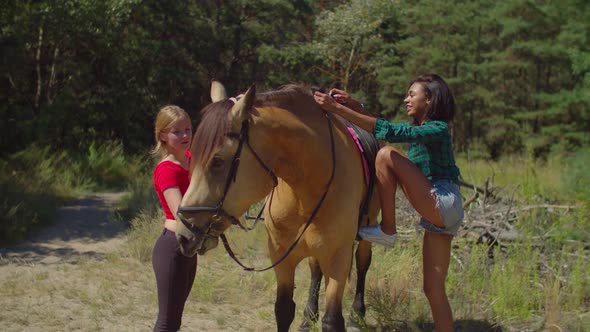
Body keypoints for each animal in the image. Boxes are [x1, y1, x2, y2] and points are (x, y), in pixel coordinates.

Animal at [175, 81, 384, 332]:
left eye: (217, 161)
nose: (183, 234)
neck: (307, 187)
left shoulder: (338, 259)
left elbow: (332, 320)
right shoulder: (281, 256)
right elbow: (283, 310)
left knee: (363, 263)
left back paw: (357, 312)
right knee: (315, 269)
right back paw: (308, 317)